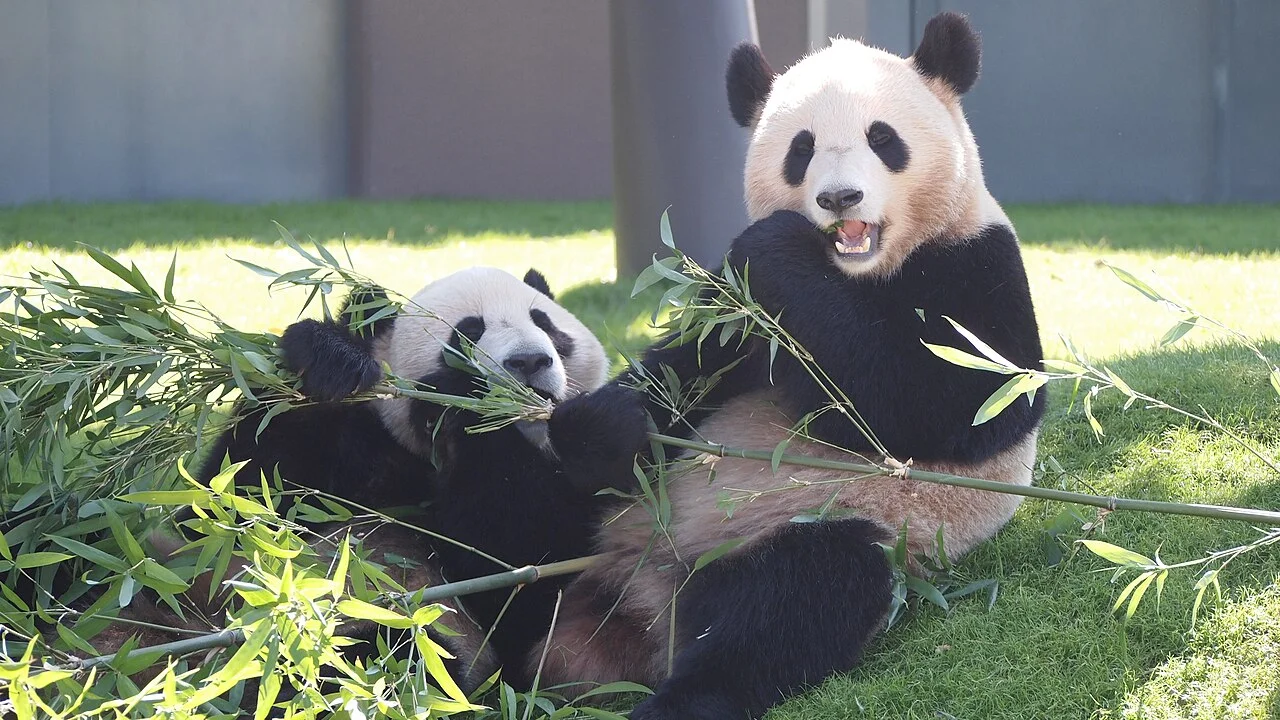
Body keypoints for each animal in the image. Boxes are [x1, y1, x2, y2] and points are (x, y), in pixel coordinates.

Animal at [181, 266, 647, 691]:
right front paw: (331, 360)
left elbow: (522, 563)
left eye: (545, 323)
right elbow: (230, 506)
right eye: (466, 333)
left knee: (395, 653)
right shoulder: (353, 446)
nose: (529, 360)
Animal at [531, 13, 1045, 720]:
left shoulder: (975, 265)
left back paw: (685, 692)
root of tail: (642, 595)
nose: (839, 197)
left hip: (825, 523)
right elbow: (680, 373)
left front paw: (776, 244)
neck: (854, 273)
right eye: (801, 149)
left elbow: (940, 403)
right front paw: (606, 426)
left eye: (883, 139)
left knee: (787, 605)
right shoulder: (737, 311)